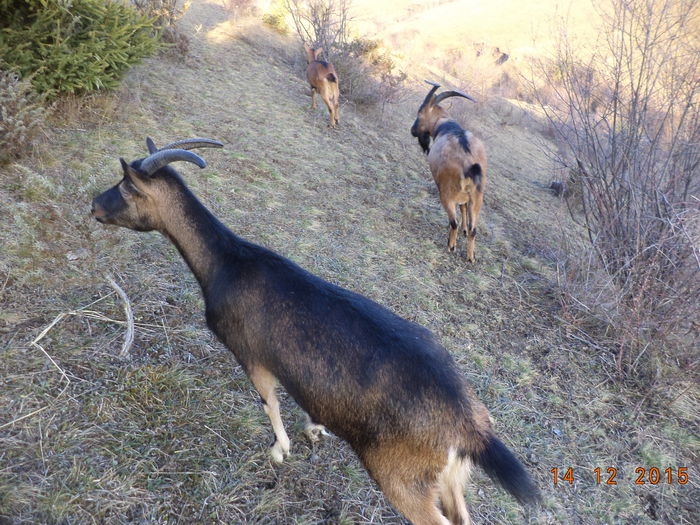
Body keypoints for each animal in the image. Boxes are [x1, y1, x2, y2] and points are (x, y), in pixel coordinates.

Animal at [91, 139, 540, 524]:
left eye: (125, 187)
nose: (94, 205)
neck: (227, 263)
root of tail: (469, 425)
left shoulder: (251, 355)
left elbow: (269, 403)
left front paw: (280, 450)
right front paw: (314, 428)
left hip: (402, 478)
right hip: (448, 479)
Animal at [410, 81, 486, 262]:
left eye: (420, 112)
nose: (413, 131)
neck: (448, 127)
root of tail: (470, 166)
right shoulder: (466, 197)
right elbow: (464, 209)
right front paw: (464, 230)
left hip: (447, 193)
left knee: (453, 222)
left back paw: (451, 246)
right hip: (477, 198)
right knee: (474, 228)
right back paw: (470, 256)